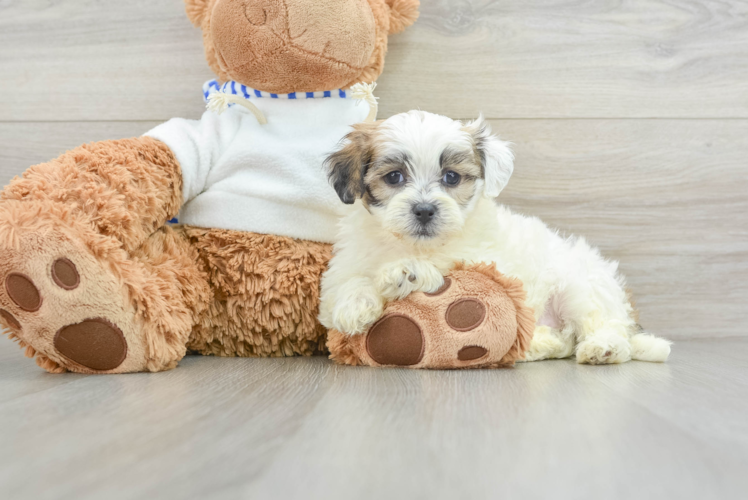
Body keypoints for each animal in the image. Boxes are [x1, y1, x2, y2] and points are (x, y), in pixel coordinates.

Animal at [318, 111, 668, 366]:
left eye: (451, 177)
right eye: (394, 177)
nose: (424, 210)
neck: (413, 244)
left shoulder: (487, 260)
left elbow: (449, 266)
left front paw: (407, 271)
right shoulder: (346, 264)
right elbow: (347, 282)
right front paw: (354, 306)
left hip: (581, 287)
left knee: (603, 326)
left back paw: (603, 348)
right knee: (564, 340)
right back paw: (539, 344)